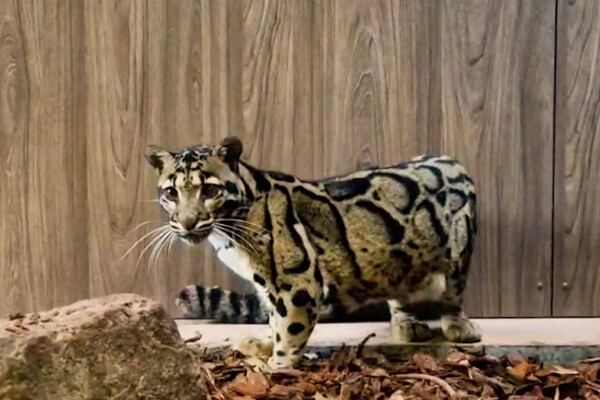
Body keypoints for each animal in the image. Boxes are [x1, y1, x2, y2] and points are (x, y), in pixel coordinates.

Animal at [148, 137, 480, 368]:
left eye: (210, 191)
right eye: (171, 193)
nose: (187, 222)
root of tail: (452, 161)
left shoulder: (297, 281)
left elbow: (290, 326)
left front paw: (276, 365)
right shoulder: (267, 284)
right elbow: (274, 317)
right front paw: (266, 343)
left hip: (460, 247)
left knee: (453, 293)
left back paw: (458, 326)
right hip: (399, 260)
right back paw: (405, 323)